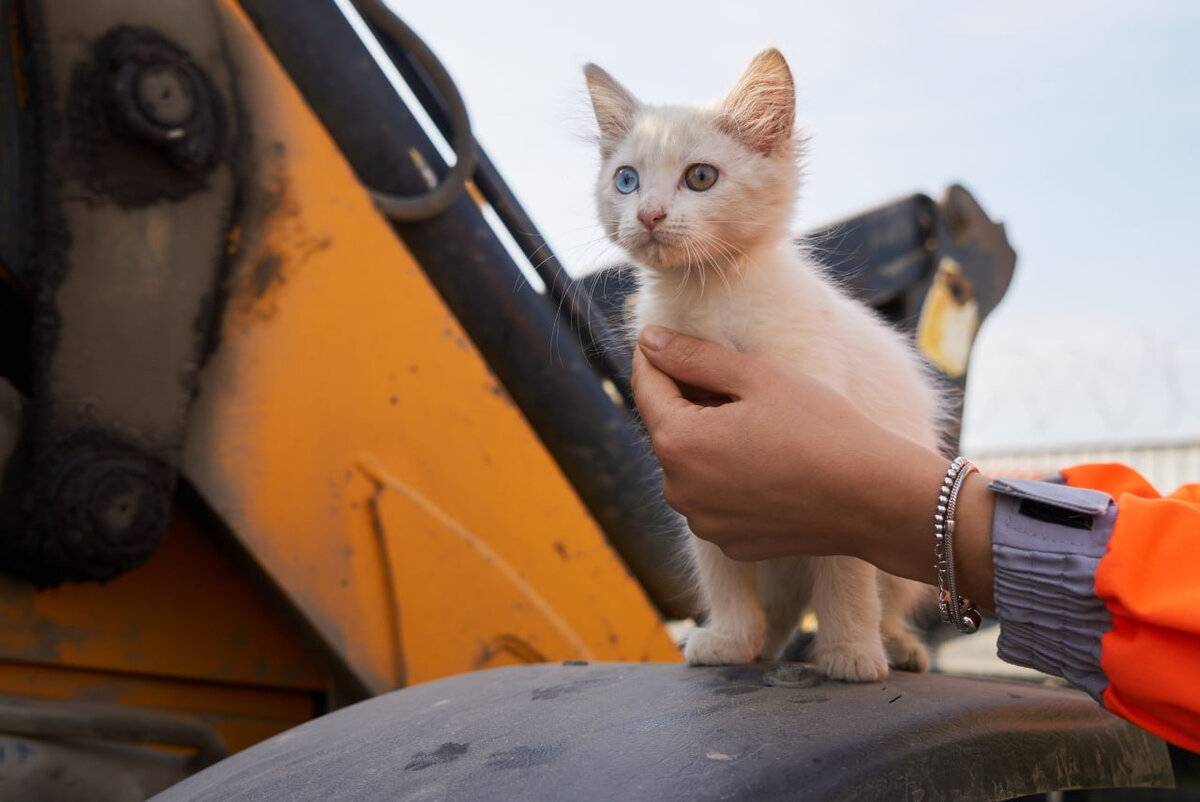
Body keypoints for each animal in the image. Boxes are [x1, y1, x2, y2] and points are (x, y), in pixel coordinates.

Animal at [585, 47, 940, 681]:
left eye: (701, 177)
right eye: (626, 181)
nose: (648, 215)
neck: (709, 297)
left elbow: (847, 569)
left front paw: (850, 652)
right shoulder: (695, 469)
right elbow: (718, 566)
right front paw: (729, 637)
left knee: (887, 597)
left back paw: (894, 645)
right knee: (781, 604)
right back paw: (763, 644)